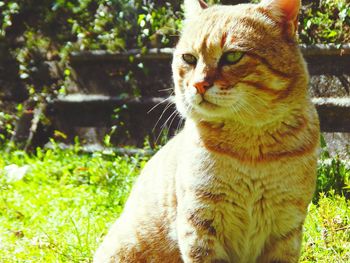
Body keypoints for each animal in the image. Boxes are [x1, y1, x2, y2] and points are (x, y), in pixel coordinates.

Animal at [93, 0, 320, 262]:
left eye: (233, 56)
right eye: (189, 58)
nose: (199, 84)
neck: (251, 152)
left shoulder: (285, 227)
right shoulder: (201, 223)